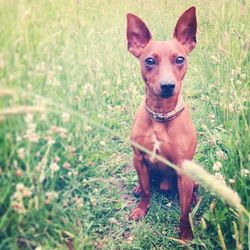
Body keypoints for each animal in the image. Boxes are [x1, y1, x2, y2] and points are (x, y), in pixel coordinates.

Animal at [127, 6, 197, 241]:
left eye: (180, 59)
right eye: (150, 61)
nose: (168, 86)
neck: (161, 115)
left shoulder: (184, 172)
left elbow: (184, 211)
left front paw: (185, 234)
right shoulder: (139, 158)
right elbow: (148, 191)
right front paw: (142, 209)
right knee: (146, 183)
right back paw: (139, 188)